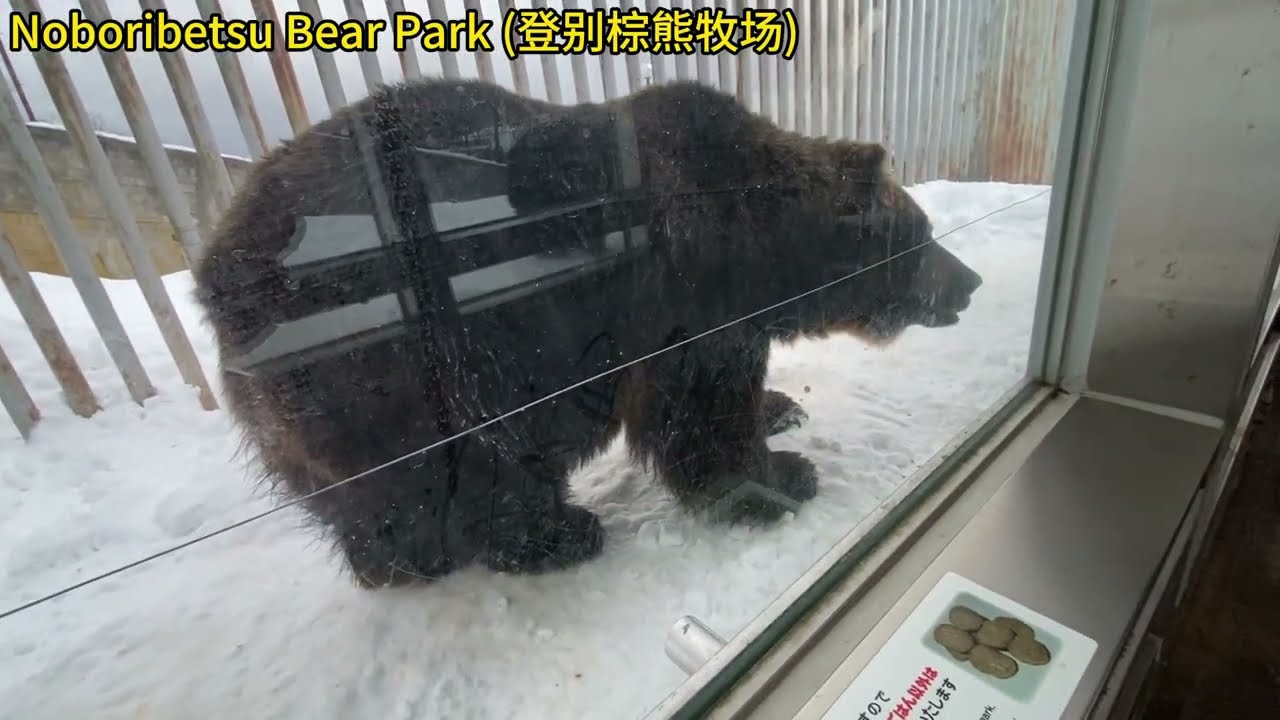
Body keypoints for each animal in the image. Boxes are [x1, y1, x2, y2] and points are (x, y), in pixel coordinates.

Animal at [191, 77, 983, 588]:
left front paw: (782, 409)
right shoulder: (689, 296)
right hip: (411, 353)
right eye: (923, 236)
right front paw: (783, 477)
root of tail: (214, 265)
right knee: (463, 465)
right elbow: (701, 411)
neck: (767, 252)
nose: (969, 282)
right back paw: (550, 535)